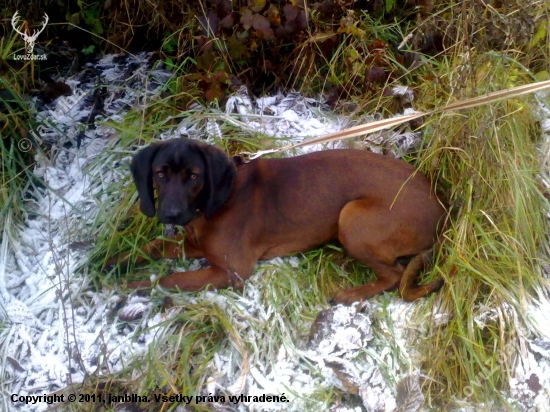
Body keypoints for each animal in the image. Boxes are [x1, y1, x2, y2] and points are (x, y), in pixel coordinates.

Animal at [111, 138, 444, 302]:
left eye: (194, 176)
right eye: (160, 173)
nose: (171, 213)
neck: (215, 203)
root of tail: (442, 211)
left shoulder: (231, 272)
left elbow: (169, 278)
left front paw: (133, 285)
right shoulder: (196, 245)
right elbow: (155, 246)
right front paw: (114, 264)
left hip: (351, 219)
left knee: (394, 275)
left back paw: (350, 295)